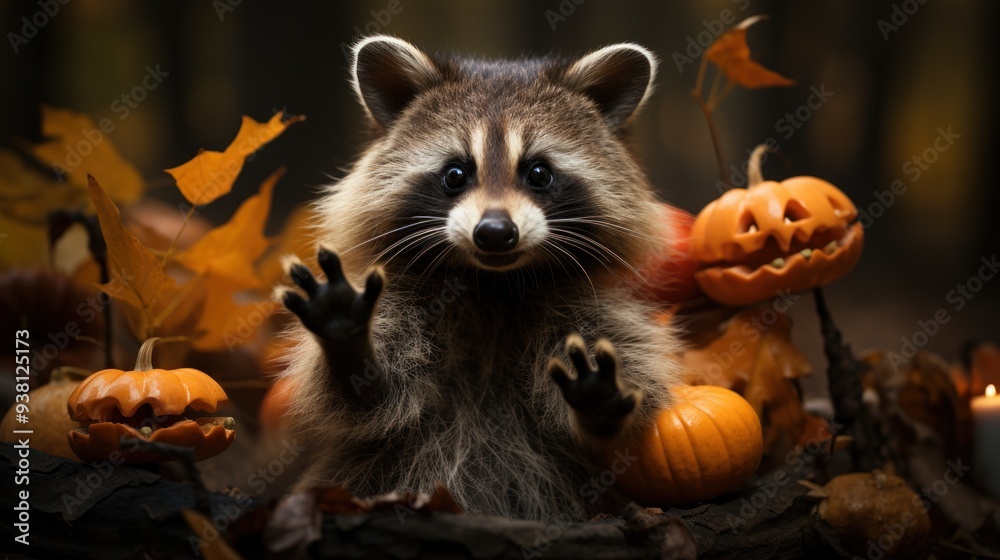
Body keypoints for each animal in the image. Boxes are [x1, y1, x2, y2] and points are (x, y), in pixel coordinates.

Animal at [278, 36, 684, 521]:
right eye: (455, 174)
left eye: (539, 172)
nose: (494, 232)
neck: (493, 284)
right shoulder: (407, 302)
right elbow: (365, 401)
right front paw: (348, 343)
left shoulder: (590, 312)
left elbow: (627, 410)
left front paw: (600, 403)